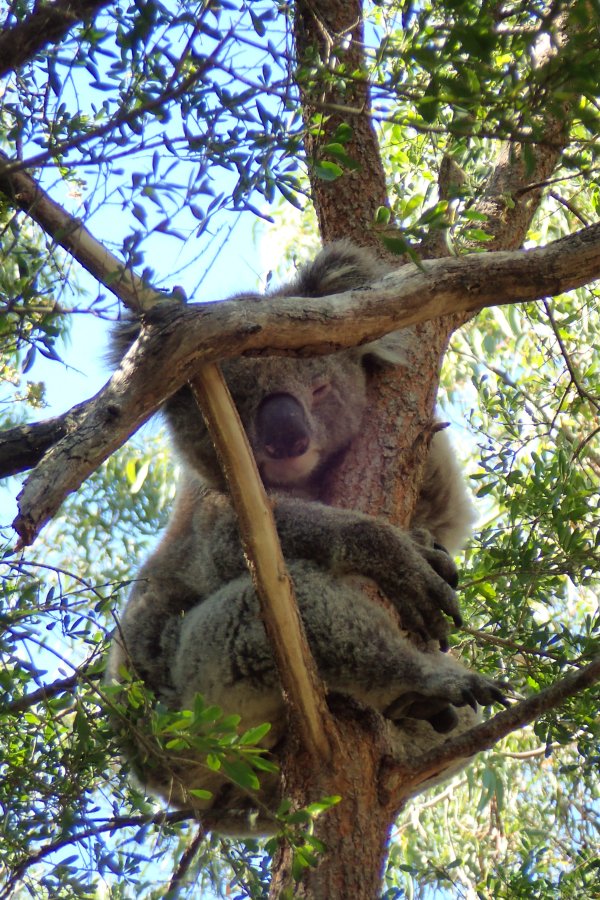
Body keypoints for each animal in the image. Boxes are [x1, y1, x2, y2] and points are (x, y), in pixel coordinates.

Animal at [106, 241, 507, 833]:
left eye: (319, 387)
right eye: (236, 403)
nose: (287, 438)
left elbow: (447, 516)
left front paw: (429, 548)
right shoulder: (213, 507)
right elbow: (235, 545)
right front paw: (407, 561)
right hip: (198, 697)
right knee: (284, 614)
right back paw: (429, 685)